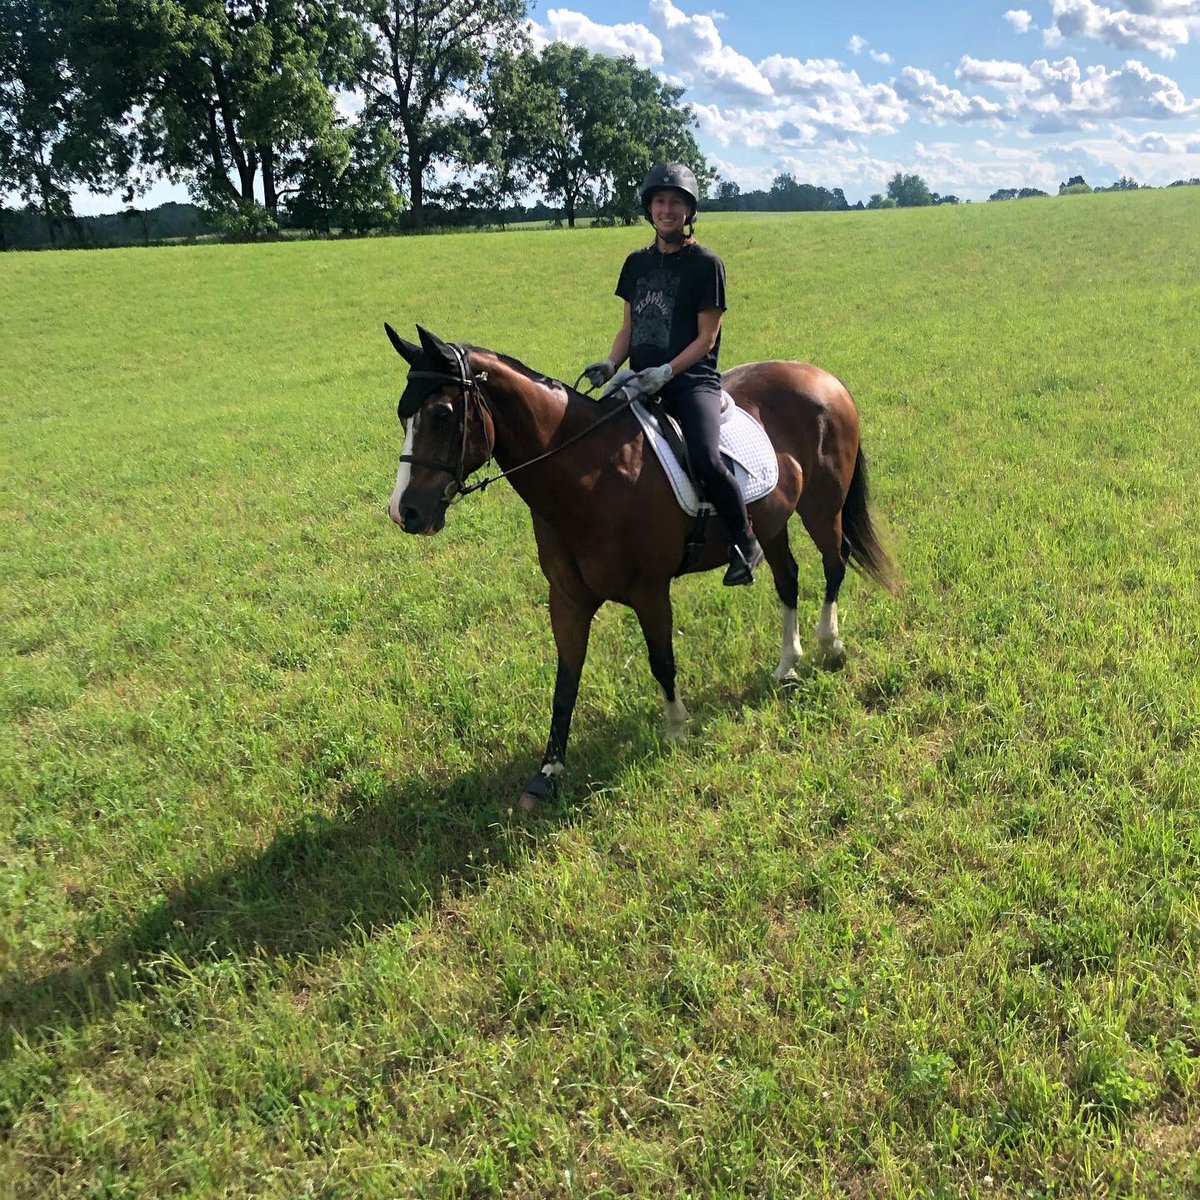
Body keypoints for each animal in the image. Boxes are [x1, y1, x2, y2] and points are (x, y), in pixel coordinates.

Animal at [385, 323, 897, 811]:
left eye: (442, 414)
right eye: (403, 414)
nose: (404, 512)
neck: (589, 474)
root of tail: (824, 378)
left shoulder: (651, 591)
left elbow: (662, 661)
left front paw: (676, 730)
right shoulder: (567, 600)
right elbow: (566, 679)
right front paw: (548, 772)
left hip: (822, 508)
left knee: (834, 565)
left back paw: (830, 646)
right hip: (771, 524)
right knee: (788, 579)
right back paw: (787, 664)